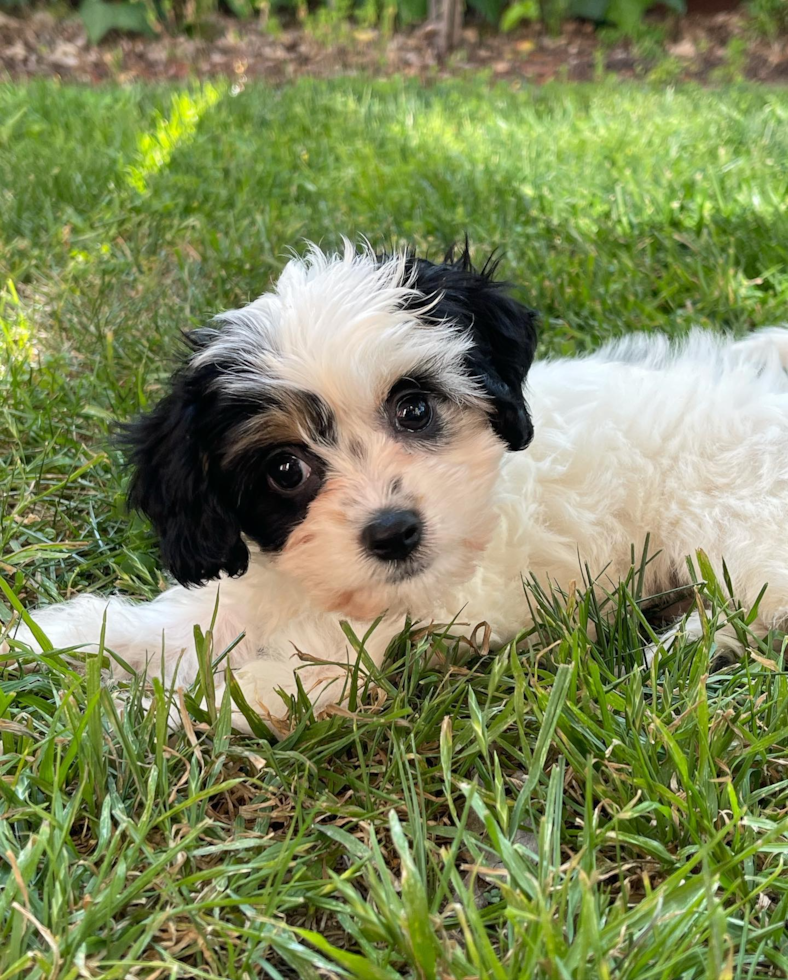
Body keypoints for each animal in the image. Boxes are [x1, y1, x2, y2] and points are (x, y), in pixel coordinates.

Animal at [6, 243, 788, 736]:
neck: (316, 594)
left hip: (735, 524)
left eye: (414, 409)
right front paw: (45, 639)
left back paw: (685, 644)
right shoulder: (239, 596)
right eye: (285, 470)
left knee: (757, 603)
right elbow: (157, 625)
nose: (393, 532)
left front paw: (126, 712)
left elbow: (255, 685)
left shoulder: (363, 654)